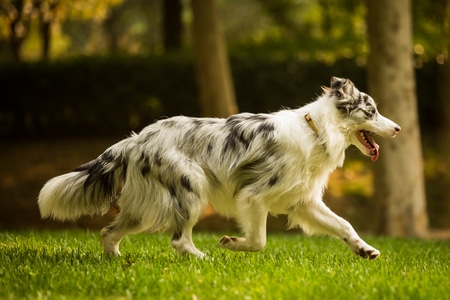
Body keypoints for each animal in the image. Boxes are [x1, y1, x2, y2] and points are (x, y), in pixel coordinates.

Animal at [37, 76, 400, 258]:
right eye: (371, 111)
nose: (397, 128)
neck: (317, 131)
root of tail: (136, 139)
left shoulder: (303, 202)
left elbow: (344, 225)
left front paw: (364, 249)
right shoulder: (254, 196)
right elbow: (259, 240)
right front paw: (231, 244)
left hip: (144, 207)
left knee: (108, 232)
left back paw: (117, 261)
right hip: (191, 187)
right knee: (178, 241)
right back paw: (204, 260)